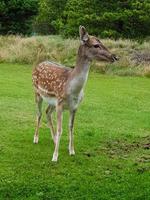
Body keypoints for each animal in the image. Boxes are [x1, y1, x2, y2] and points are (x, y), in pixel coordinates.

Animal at [32, 25, 118, 162]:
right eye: (96, 45)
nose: (115, 57)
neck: (74, 90)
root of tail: (39, 63)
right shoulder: (60, 104)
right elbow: (60, 129)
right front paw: (55, 156)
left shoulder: (74, 106)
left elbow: (71, 127)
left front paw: (72, 150)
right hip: (37, 93)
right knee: (39, 113)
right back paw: (36, 138)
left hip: (52, 101)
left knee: (47, 112)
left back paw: (54, 140)